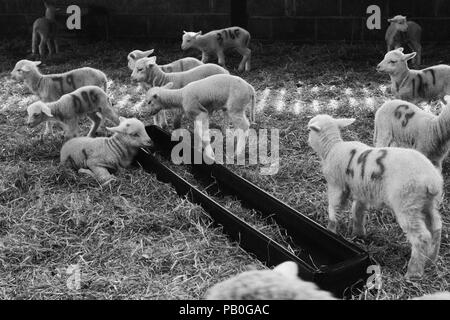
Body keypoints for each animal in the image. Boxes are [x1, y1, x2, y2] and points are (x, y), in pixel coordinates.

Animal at [308, 114, 442, 278]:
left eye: (309, 130)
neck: (332, 147)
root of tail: (432, 180)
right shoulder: (362, 190)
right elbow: (357, 211)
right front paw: (358, 234)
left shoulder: (336, 186)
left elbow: (334, 210)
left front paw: (330, 231)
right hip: (427, 203)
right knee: (436, 228)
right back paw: (431, 260)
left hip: (407, 203)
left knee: (421, 237)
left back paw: (413, 273)